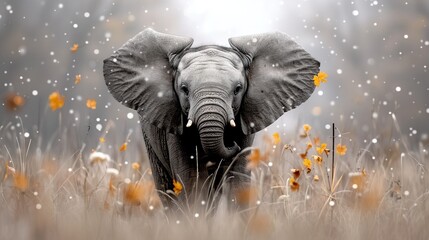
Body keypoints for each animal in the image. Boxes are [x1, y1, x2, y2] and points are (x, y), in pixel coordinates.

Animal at [102, 28, 320, 210]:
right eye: (184, 89)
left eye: (238, 89)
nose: (231, 143)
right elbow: (192, 181)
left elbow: (238, 179)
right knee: (167, 191)